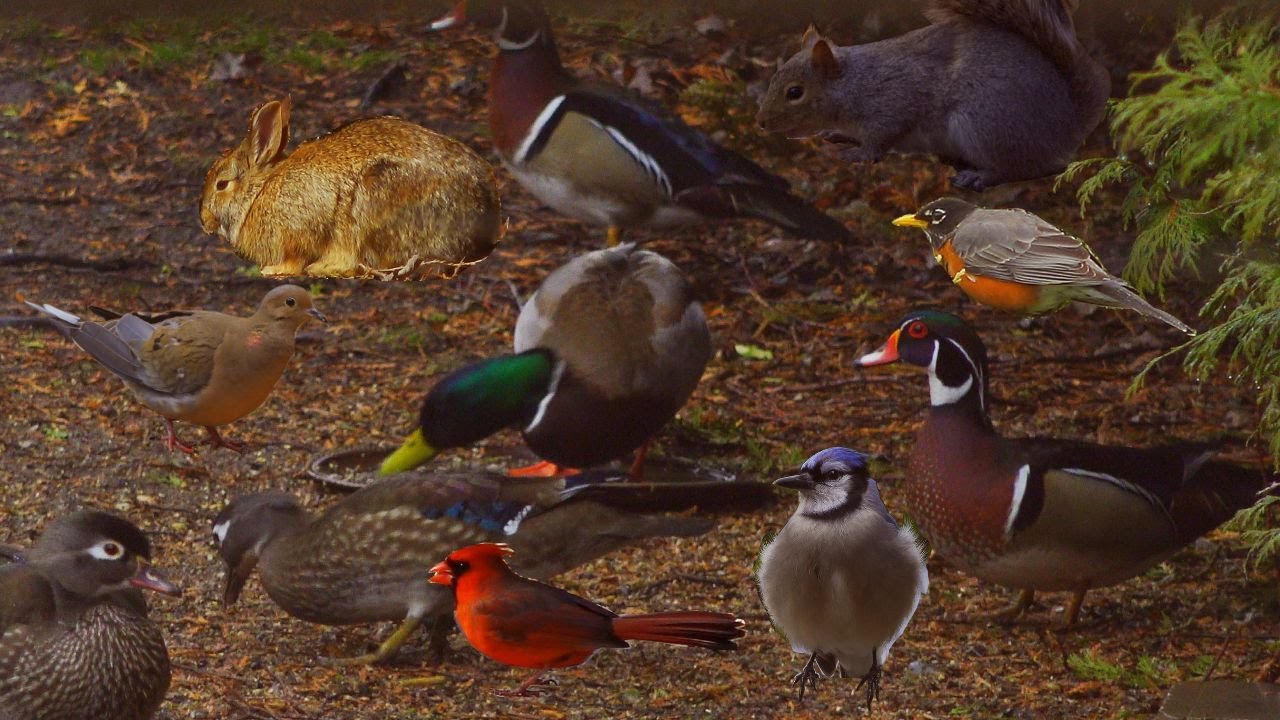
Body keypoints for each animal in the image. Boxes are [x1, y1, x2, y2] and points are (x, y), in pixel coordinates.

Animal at [756, 0, 1110, 191]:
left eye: (795, 92)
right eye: (773, 77)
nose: (761, 123)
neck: (854, 84)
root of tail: (1067, 124)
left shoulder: (894, 100)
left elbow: (880, 139)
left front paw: (858, 154)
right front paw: (837, 135)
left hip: (986, 124)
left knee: (1026, 167)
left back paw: (979, 177)